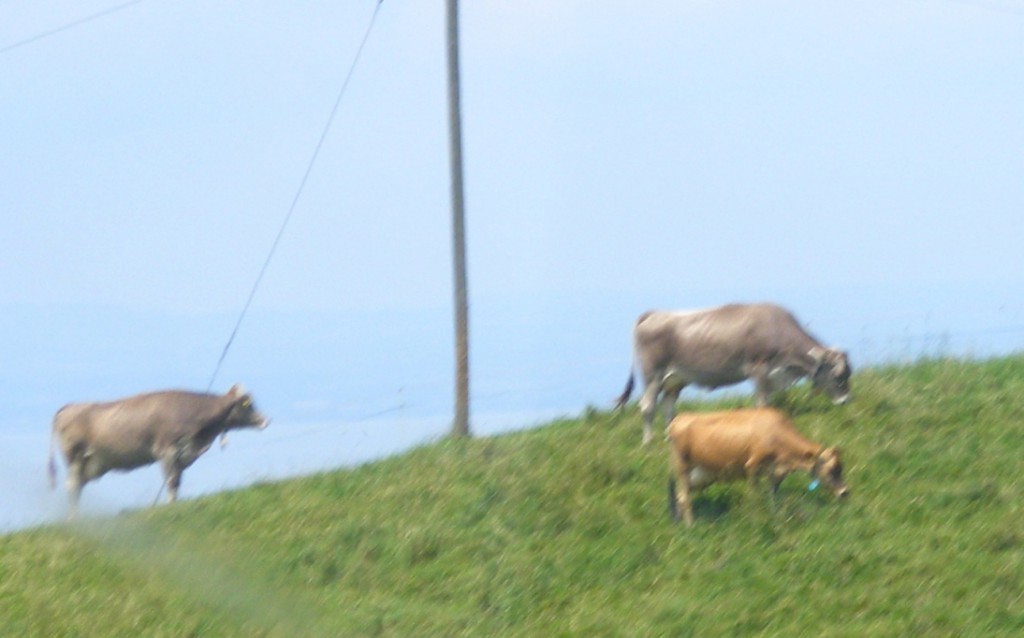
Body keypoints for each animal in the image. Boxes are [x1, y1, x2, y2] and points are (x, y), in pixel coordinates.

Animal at [47, 385, 272, 520]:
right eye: (248, 405)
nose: (265, 420)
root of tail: (68, 407)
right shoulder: (167, 451)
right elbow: (171, 482)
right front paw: (170, 506)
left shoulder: (182, 455)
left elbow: (177, 482)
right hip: (75, 458)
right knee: (73, 486)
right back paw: (73, 519)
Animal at [614, 303, 847, 444]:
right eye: (838, 375)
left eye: (848, 373)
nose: (845, 400)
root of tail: (654, 313)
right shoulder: (759, 368)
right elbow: (762, 403)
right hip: (652, 374)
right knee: (648, 406)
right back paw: (648, 442)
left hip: (675, 380)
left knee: (668, 408)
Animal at [663, 409, 847, 528]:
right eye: (832, 469)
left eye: (841, 468)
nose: (845, 492)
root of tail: (678, 419)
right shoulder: (753, 466)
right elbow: (755, 496)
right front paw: (756, 519)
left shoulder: (774, 473)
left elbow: (773, 496)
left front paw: (774, 516)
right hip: (682, 467)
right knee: (683, 497)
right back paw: (690, 527)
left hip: (697, 475)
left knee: (678, 496)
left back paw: (678, 525)